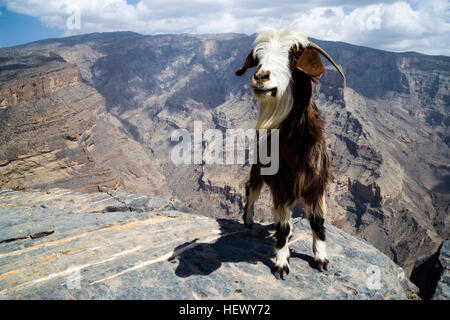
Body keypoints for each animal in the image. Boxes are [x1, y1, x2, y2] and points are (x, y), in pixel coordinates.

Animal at [236, 28, 344, 280]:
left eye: (294, 55)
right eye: (258, 56)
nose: (260, 76)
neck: (298, 146)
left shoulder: (316, 184)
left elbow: (317, 221)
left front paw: (322, 258)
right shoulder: (282, 185)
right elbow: (282, 226)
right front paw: (281, 264)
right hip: (258, 169)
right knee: (251, 189)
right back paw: (248, 219)